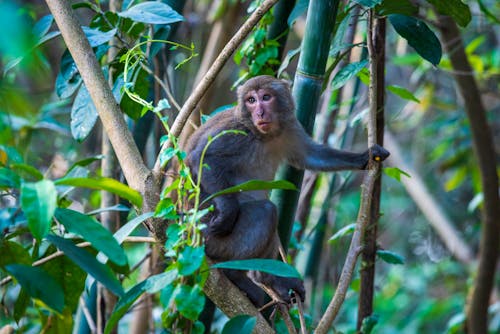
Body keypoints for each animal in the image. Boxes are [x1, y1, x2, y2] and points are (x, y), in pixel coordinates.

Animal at [185, 74, 390, 306]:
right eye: (251, 100)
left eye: (266, 97)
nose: (259, 112)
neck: (264, 135)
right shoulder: (236, 132)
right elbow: (202, 158)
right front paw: (227, 214)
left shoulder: (290, 127)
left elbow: (311, 156)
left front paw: (365, 157)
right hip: (211, 244)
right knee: (266, 211)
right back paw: (236, 275)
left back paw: (268, 279)